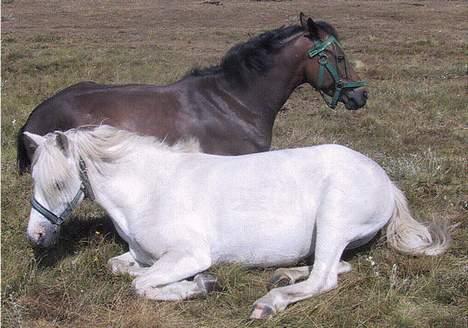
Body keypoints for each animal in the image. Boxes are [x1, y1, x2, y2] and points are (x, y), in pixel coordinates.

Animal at [24, 125, 450, 318]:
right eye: (33, 178)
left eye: (58, 183)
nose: (36, 236)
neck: (149, 190)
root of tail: (385, 179)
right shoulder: (141, 255)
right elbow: (120, 268)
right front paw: (196, 283)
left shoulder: (189, 254)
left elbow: (142, 285)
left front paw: (199, 285)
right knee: (335, 267)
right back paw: (282, 276)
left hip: (334, 219)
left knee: (324, 279)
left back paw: (268, 303)